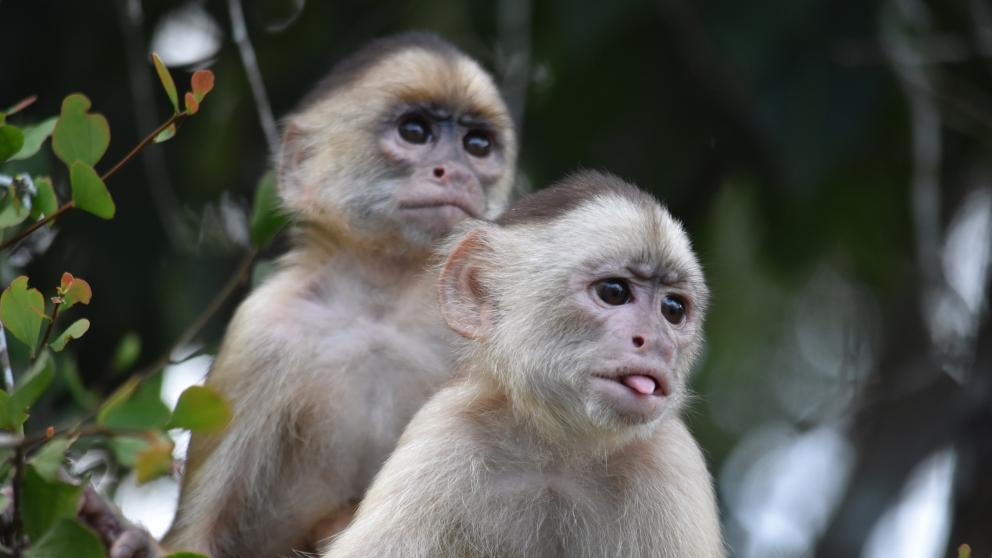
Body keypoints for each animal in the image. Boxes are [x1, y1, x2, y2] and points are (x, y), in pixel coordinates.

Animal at [138, 33, 516, 558]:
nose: (455, 171)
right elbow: (197, 534)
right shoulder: (257, 332)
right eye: (415, 132)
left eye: (476, 145)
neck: (380, 310)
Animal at [324, 171, 725, 558]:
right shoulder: (446, 433)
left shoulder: (670, 461)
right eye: (614, 292)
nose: (657, 342)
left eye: (673, 310)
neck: (558, 456)